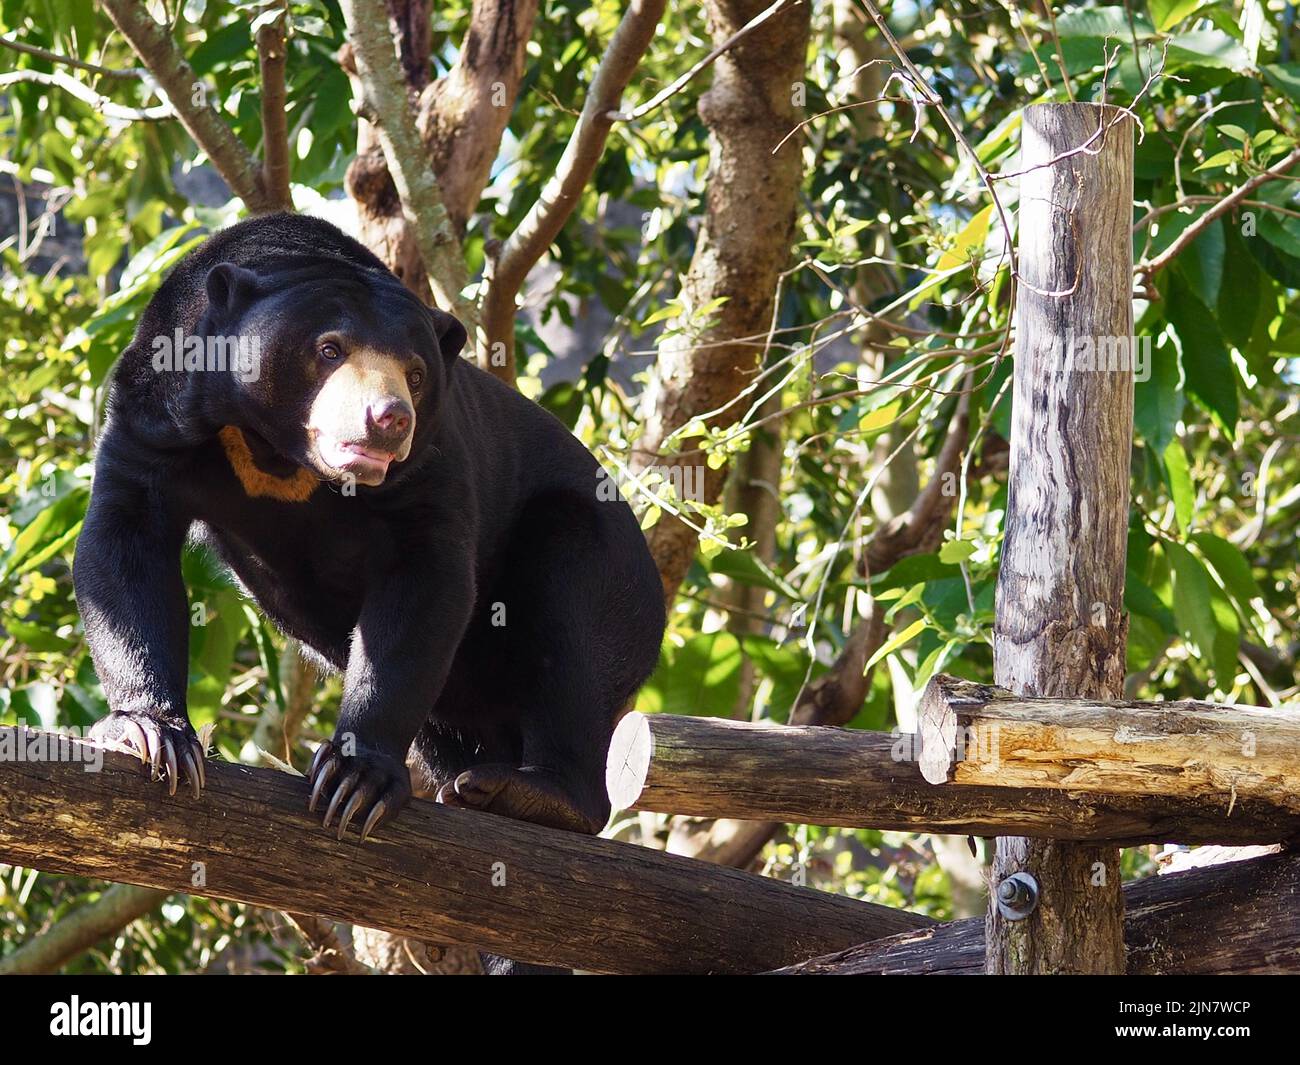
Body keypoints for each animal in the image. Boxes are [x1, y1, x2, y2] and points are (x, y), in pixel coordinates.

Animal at [73, 214, 660, 847]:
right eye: (329, 350)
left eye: (416, 374)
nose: (389, 419)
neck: (278, 451)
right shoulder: (155, 411)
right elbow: (125, 545)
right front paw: (150, 735)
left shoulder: (432, 458)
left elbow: (422, 585)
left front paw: (357, 780)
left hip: (613, 571)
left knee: (572, 623)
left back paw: (533, 794)